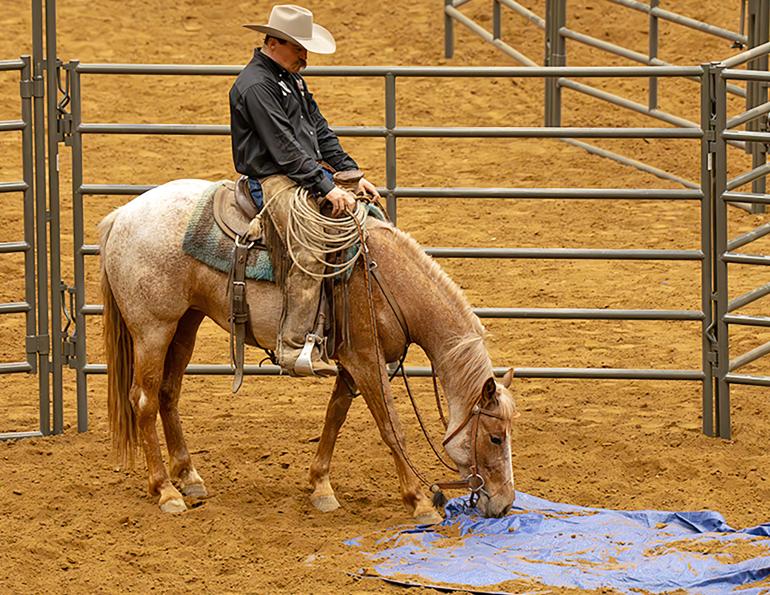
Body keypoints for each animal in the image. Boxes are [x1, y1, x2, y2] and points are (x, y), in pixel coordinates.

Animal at [99, 178, 518, 523]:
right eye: (496, 437)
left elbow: (335, 416)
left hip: (186, 322)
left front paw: (321, 487)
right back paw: (166, 491)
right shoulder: (367, 360)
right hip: (153, 328)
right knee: (144, 400)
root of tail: (122, 216)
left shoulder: (352, 362)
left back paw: (189, 477)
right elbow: (391, 427)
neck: (389, 280)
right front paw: (419, 501)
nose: (505, 504)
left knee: (168, 393)